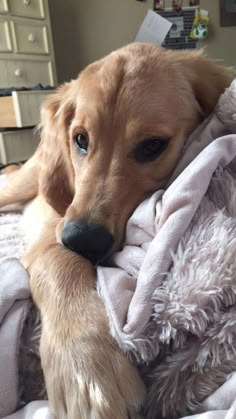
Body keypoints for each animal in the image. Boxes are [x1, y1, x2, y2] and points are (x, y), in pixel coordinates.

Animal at [0, 44, 233, 418]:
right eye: (80, 139)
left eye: (152, 146)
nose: (83, 239)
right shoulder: (56, 224)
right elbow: (59, 259)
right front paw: (85, 365)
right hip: (25, 181)